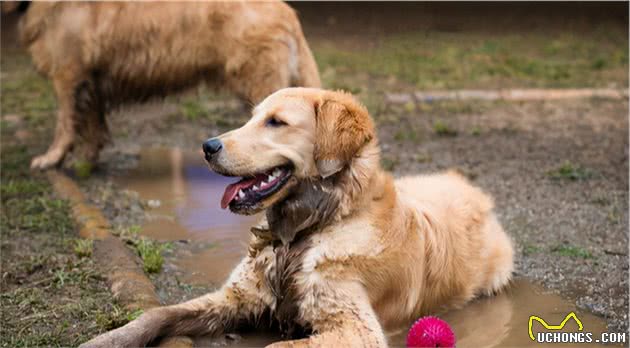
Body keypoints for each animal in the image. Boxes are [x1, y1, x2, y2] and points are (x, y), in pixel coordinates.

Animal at [11, 1, 320, 170]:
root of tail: (288, 12)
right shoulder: (90, 78)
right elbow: (91, 122)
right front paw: (87, 160)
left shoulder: (68, 73)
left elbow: (65, 122)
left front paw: (51, 159)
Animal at [80, 88, 512, 346]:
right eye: (253, 117)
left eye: (277, 122)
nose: (207, 146)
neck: (307, 231)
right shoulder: (235, 297)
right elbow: (157, 313)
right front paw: (107, 339)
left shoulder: (356, 329)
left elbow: (277, 344)